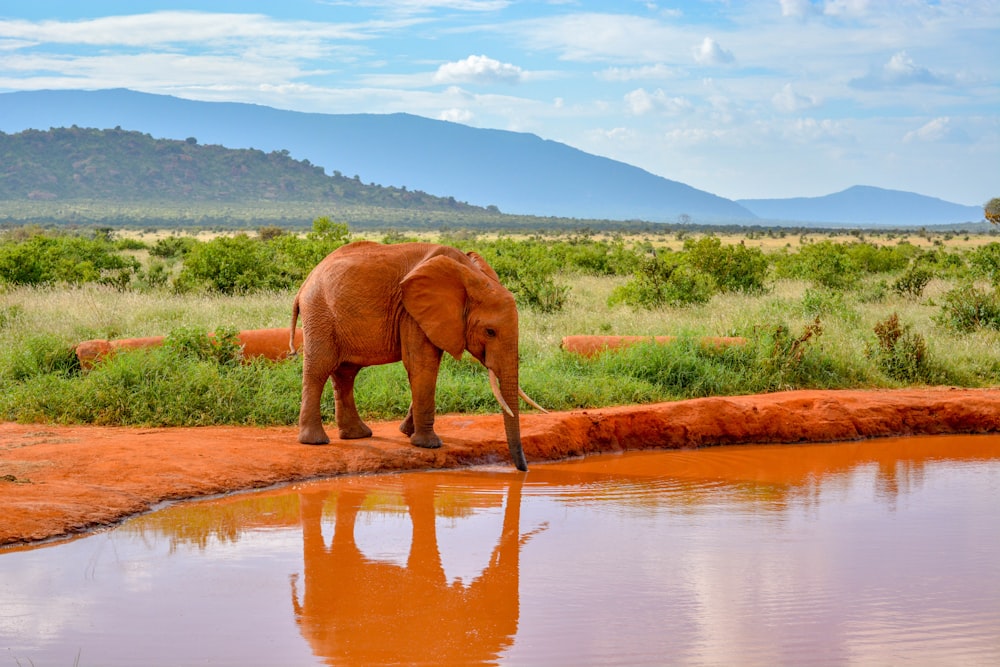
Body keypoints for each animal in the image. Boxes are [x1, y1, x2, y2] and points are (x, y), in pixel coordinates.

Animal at [290, 240, 544, 470]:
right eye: (490, 332)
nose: (523, 469)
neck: (470, 275)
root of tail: (304, 284)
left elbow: (426, 367)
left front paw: (407, 432)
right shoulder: (411, 312)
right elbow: (422, 364)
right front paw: (429, 445)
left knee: (346, 374)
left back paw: (357, 435)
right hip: (320, 313)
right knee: (319, 369)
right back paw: (316, 441)